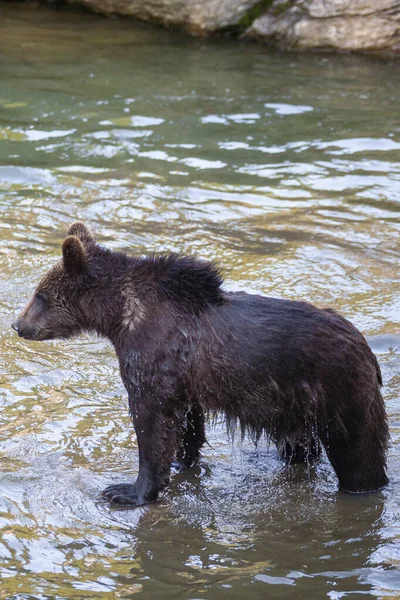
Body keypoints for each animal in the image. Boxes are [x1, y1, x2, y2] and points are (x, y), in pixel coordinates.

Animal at [10, 223, 390, 504]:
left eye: (40, 295)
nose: (17, 325)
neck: (119, 318)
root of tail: (366, 349)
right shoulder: (183, 374)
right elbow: (188, 423)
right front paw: (183, 458)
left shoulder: (152, 356)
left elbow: (152, 422)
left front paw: (126, 490)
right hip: (298, 406)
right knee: (301, 447)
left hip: (338, 390)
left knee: (359, 454)